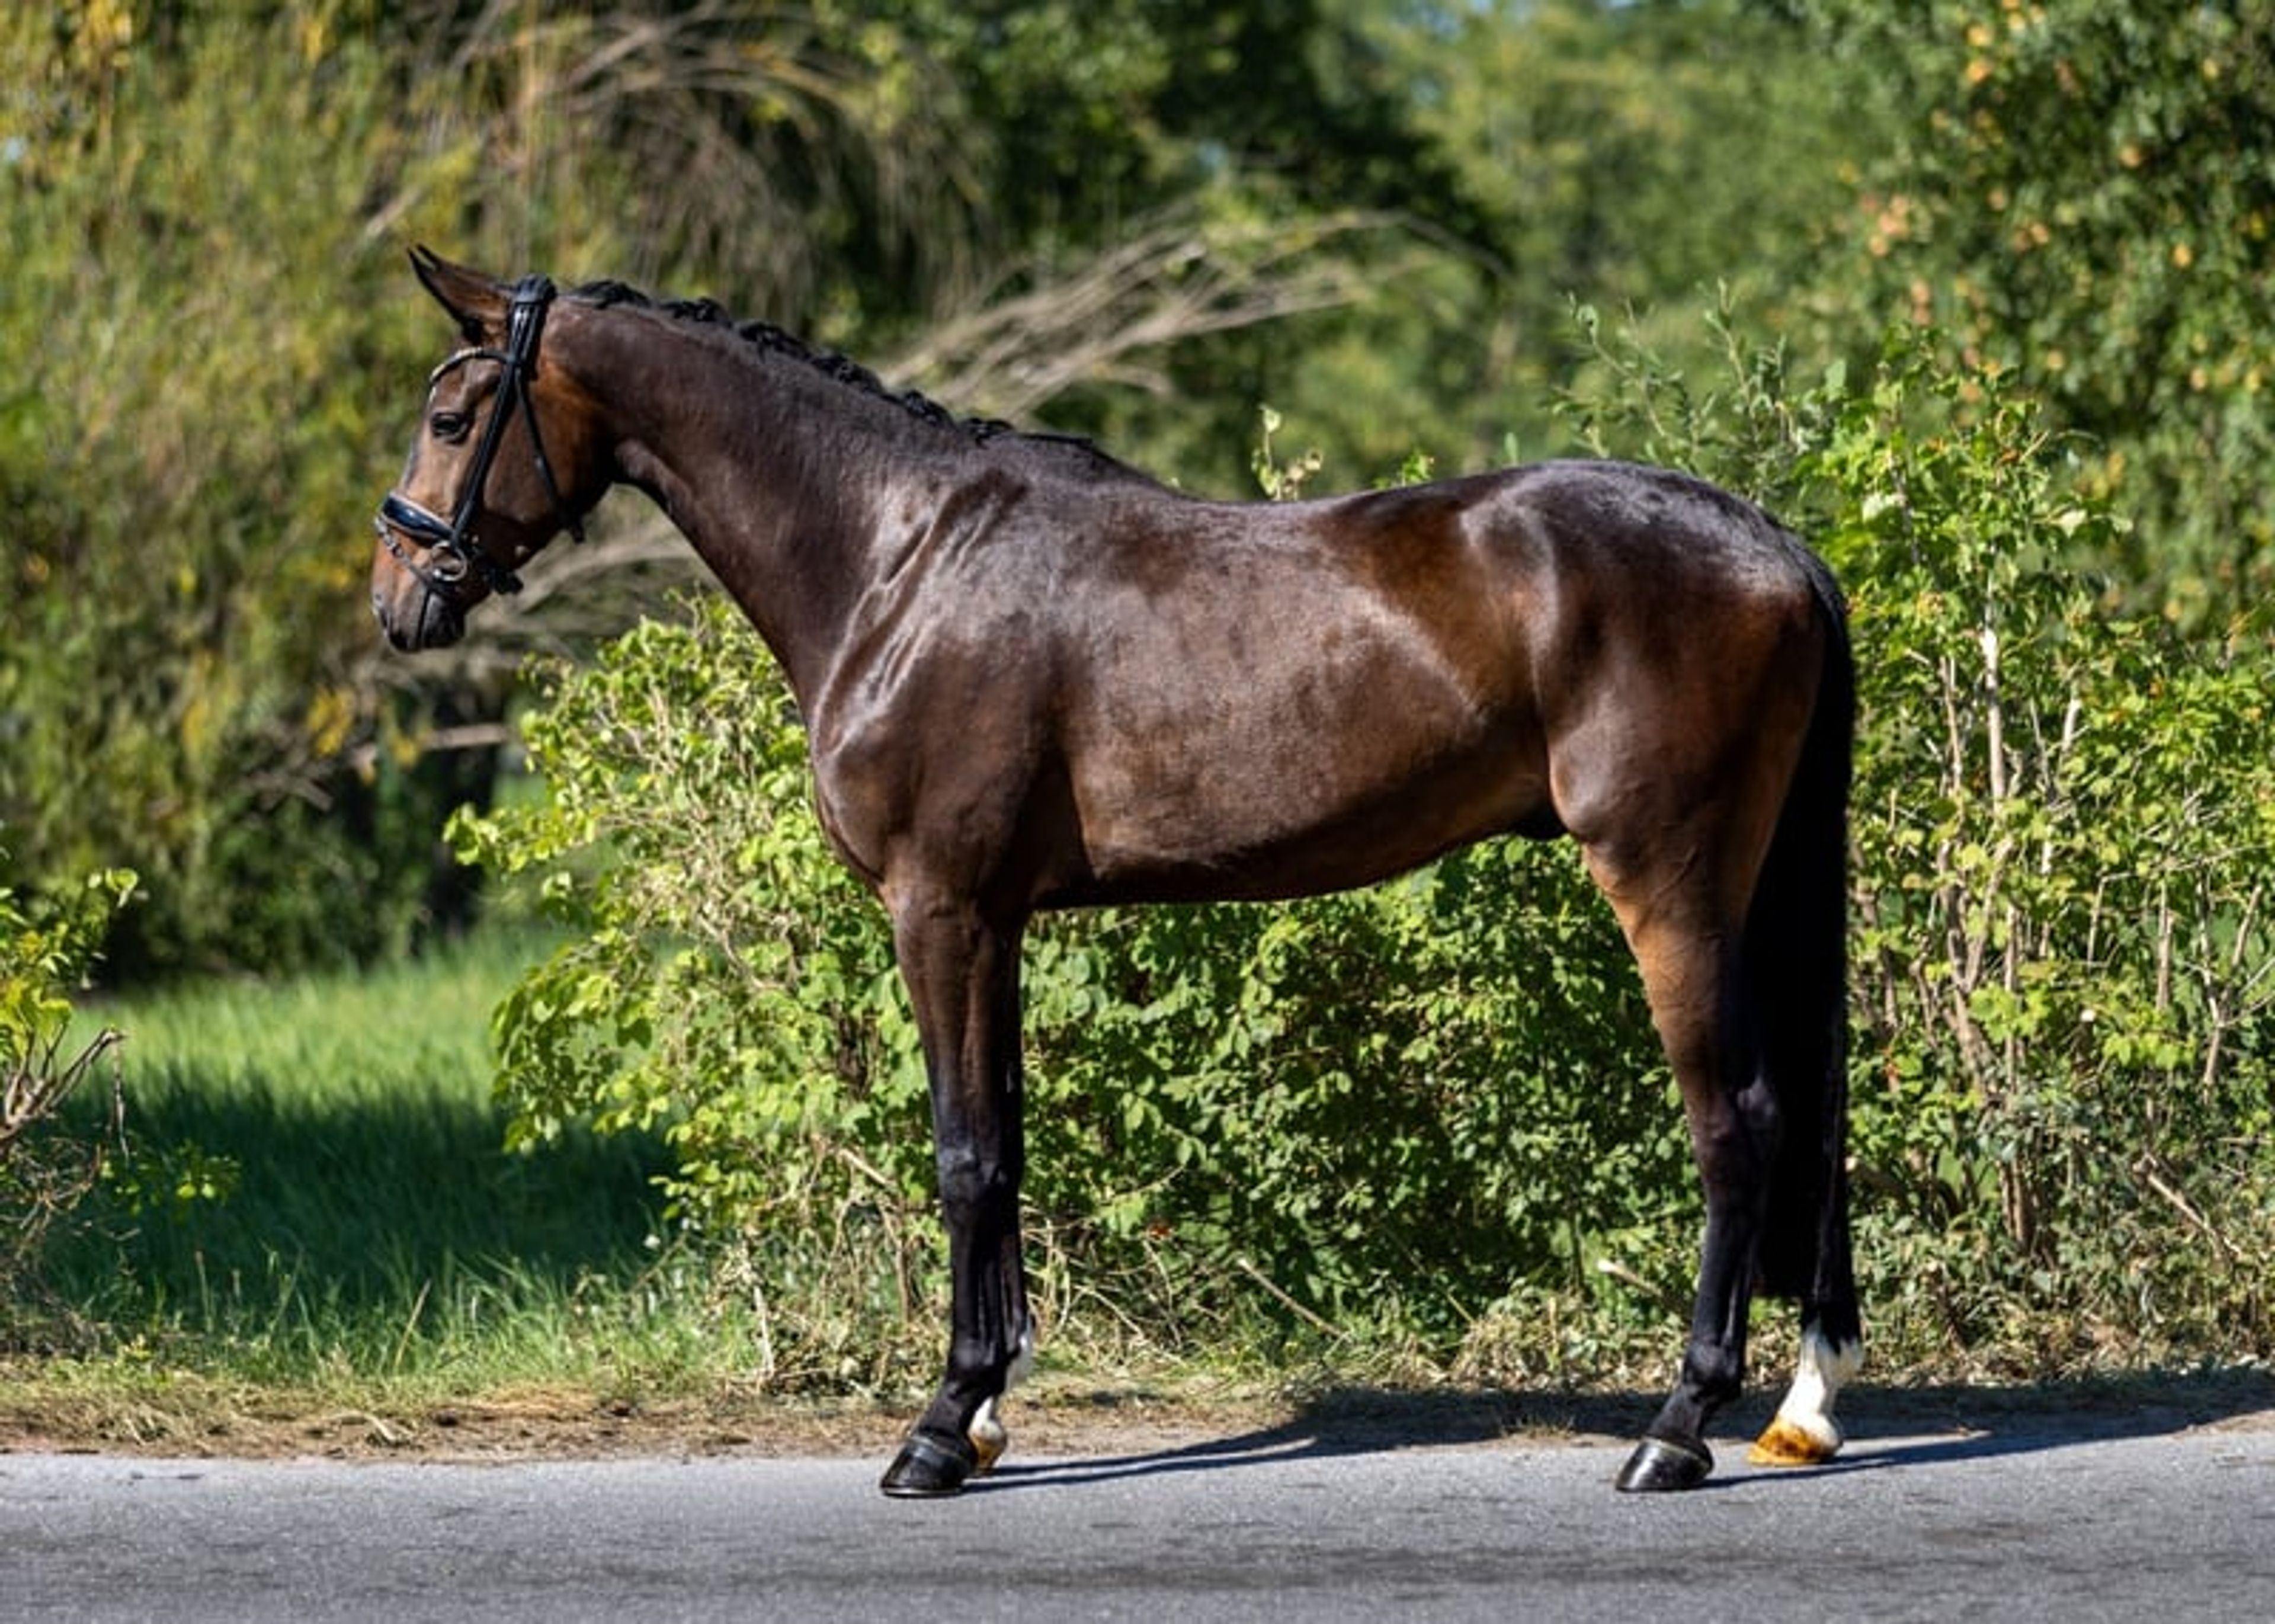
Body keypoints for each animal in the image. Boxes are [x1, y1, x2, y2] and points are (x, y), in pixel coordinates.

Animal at [371, 249, 1863, 1497]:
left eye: (453, 415)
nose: (399, 602)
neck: (900, 558)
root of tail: (1774, 546)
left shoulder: (942, 909)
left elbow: (965, 1153)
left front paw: (939, 1428)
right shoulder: (999, 921)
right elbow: (1009, 1144)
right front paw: (984, 1405)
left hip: (1669, 883)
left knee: (1738, 1121)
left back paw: (1676, 1428)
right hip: (1759, 887)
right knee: (1807, 1106)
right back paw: (1803, 1402)